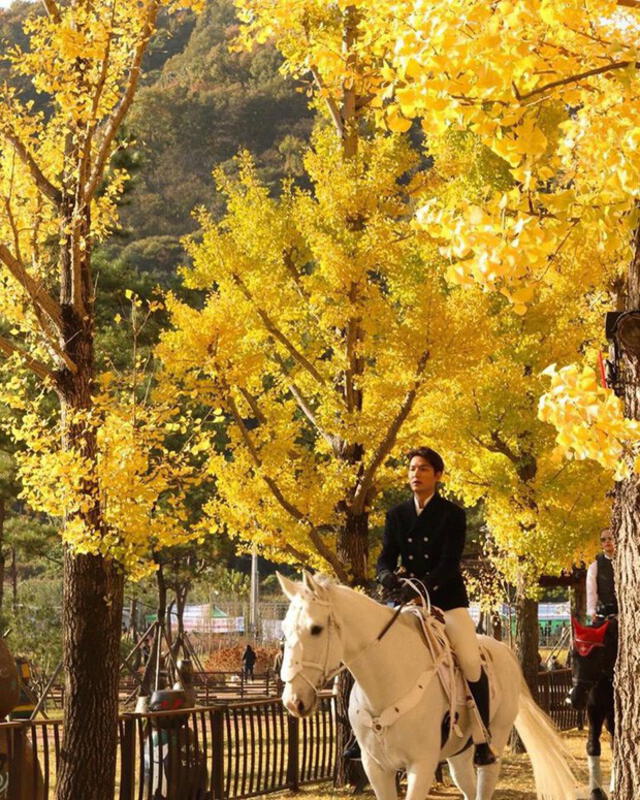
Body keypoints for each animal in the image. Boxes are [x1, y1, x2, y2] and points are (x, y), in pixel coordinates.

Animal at [278, 572, 576, 800]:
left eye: (316, 629)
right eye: (284, 629)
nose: (293, 701)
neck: (387, 681)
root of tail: (504, 650)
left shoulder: (421, 766)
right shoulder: (377, 768)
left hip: (496, 740)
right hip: (458, 753)